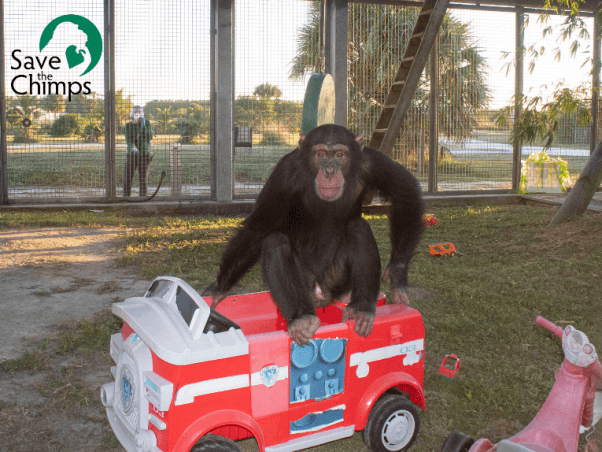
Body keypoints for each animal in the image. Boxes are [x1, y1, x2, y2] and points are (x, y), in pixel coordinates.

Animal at [204, 123, 424, 346]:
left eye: (339, 155)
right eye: (320, 154)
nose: (329, 170)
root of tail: (322, 295)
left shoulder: (372, 161)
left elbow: (404, 193)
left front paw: (397, 273)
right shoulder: (285, 172)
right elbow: (259, 227)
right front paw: (219, 289)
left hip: (338, 280)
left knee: (358, 227)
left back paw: (361, 308)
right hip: (308, 286)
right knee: (275, 242)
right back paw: (302, 319)